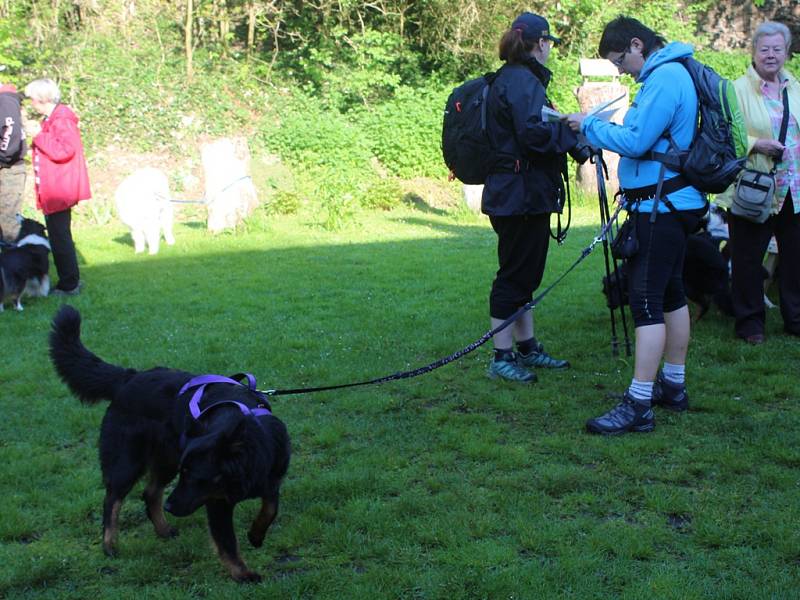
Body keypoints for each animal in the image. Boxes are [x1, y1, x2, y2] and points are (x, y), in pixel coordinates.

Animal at [48, 304, 290, 580]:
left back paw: (163, 529)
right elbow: (227, 542)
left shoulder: (271, 478)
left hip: (166, 460)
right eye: (189, 475)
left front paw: (256, 535)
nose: (171, 506)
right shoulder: (217, 503)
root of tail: (129, 378)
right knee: (112, 500)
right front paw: (243, 575)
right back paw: (110, 545)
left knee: (150, 493)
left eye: (197, 476)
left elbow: (270, 508)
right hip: (129, 463)